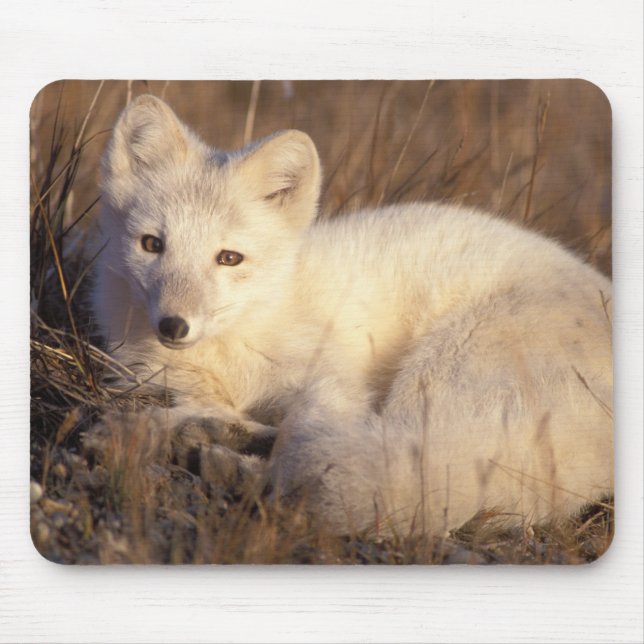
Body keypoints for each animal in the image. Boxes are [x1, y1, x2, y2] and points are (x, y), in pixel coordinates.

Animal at [93, 94, 613, 536]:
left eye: (229, 258)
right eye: (152, 244)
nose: (173, 326)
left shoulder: (332, 381)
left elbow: (301, 431)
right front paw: (170, 427)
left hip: (438, 373)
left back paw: (227, 465)